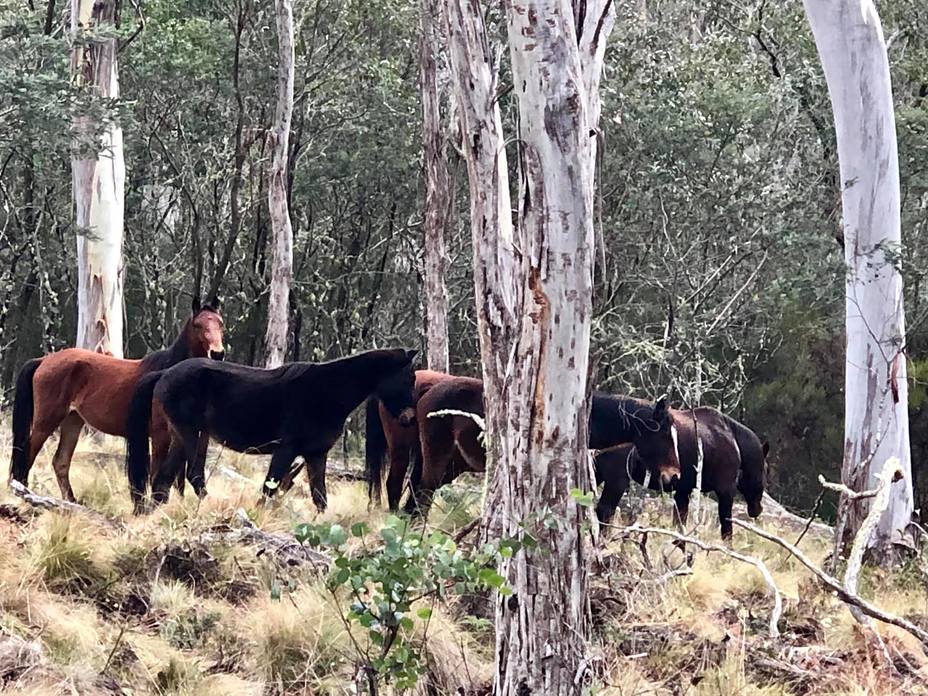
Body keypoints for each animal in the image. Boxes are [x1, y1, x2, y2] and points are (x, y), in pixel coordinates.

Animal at [10, 300, 223, 500]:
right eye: (198, 325)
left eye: (220, 323)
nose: (218, 353)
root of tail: (43, 360)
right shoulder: (161, 435)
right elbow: (161, 475)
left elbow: (181, 479)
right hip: (46, 421)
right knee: (27, 457)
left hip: (73, 420)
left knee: (60, 462)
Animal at [125, 348, 416, 512]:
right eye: (409, 378)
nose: (410, 418)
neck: (327, 391)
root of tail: (164, 374)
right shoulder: (287, 449)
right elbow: (269, 487)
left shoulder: (316, 454)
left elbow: (320, 498)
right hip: (189, 435)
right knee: (173, 477)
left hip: (186, 435)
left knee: (167, 479)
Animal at [596, 406, 768, 540]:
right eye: (764, 469)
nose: (757, 510)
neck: (734, 441)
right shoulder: (725, 490)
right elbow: (727, 528)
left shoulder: (683, 490)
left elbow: (679, 524)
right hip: (617, 479)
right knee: (605, 510)